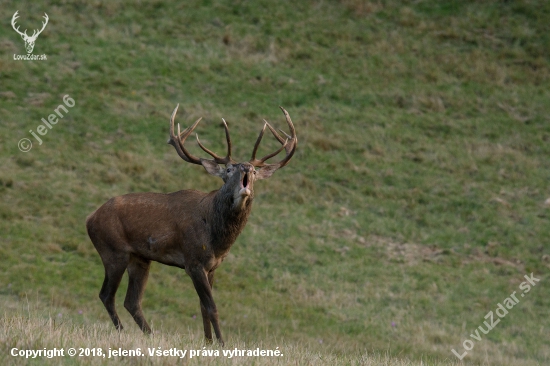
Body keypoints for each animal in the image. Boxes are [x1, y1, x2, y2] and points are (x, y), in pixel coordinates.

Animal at [87, 103, 300, 346]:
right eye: (229, 170)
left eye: (254, 171)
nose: (246, 167)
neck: (217, 239)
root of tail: (89, 219)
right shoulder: (193, 262)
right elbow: (212, 307)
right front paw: (221, 344)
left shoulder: (212, 266)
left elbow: (202, 308)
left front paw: (208, 343)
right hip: (113, 250)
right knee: (107, 294)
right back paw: (122, 332)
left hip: (140, 258)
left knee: (131, 301)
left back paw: (150, 335)